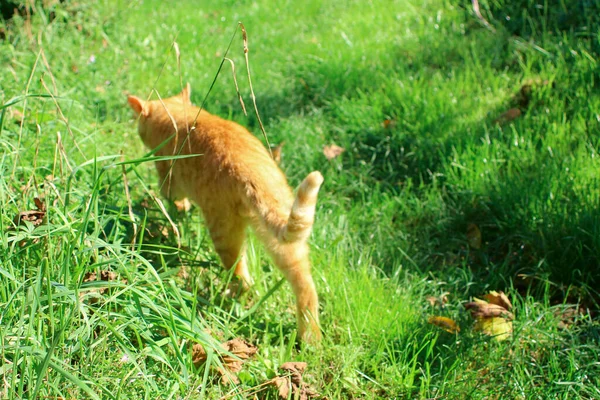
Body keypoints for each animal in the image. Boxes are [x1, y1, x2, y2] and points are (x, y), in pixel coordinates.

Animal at [127, 83, 324, 340]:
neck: (178, 115)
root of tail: (253, 171)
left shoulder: (167, 178)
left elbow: (174, 202)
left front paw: (177, 212)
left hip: (224, 233)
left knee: (243, 280)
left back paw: (225, 300)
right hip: (283, 240)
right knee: (306, 287)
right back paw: (310, 338)